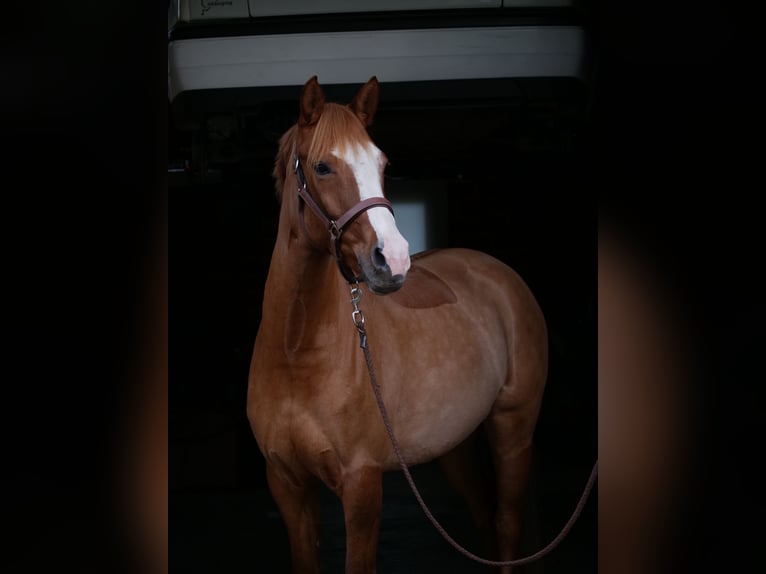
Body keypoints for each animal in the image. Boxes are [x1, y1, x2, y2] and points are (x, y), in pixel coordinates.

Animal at [247, 75, 548, 574]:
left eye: (382, 163)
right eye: (322, 167)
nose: (395, 257)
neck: (295, 353)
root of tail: (499, 273)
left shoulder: (361, 486)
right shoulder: (287, 486)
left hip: (513, 429)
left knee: (507, 524)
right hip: (455, 444)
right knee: (484, 518)